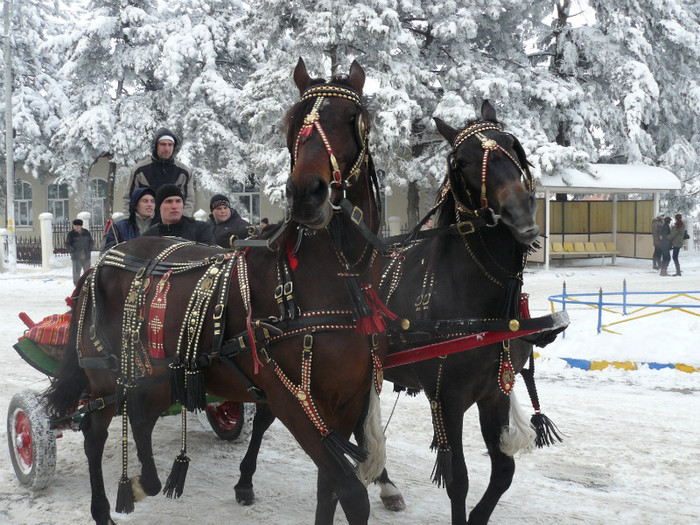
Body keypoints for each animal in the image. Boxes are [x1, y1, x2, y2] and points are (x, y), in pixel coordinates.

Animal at [43, 59, 388, 524]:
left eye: (354, 119)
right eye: (292, 123)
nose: (306, 192)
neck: (324, 282)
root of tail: (103, 259)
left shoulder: (345, 404)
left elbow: (328, 492)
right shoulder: (293, 402)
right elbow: (351, 493)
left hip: (154, 373)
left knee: (140, 414)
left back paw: (145, 478)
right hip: (103, 375)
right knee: (94, 431)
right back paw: (104, 507)